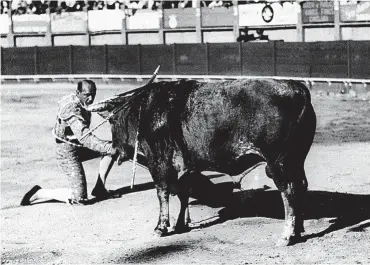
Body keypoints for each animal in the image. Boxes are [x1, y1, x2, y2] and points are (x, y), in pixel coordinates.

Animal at [92, 79, 316, 245]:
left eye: (112, 120)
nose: (115, 148)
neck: (144, 110)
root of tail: (298, 89)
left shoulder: (159, 165)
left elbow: (162, 194)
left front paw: (160, 228)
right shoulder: (184, 168)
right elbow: (183, 195)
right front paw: (181, 225)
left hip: (279, 163)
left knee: (288, 190)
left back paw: (286, 236)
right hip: (296, 161)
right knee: (301, 186)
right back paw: (298, 230)